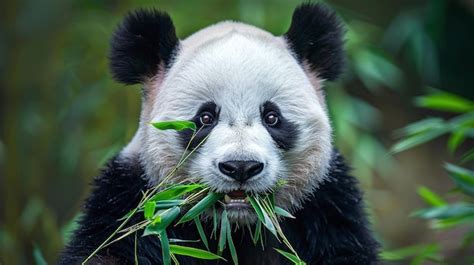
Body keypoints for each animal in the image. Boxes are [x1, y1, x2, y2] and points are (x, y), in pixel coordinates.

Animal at [59, 2, 380, 264]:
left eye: (272, 117)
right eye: (205, 118)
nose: (241, 167)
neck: (236, 227)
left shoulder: (325, 206)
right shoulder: (135, 201)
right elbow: (109, 247)